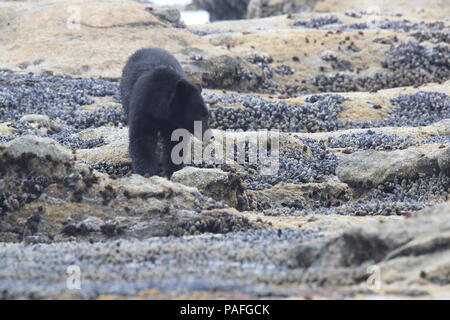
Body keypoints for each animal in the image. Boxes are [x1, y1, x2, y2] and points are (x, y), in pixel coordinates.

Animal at [119, 47, 211, 178]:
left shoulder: (174, 123)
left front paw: (173, 170)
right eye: (197, 115)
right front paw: (146, 172)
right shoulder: (143, 106)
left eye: (207, 115)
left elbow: (176, 142)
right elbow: (142, 137)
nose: (210, 136)